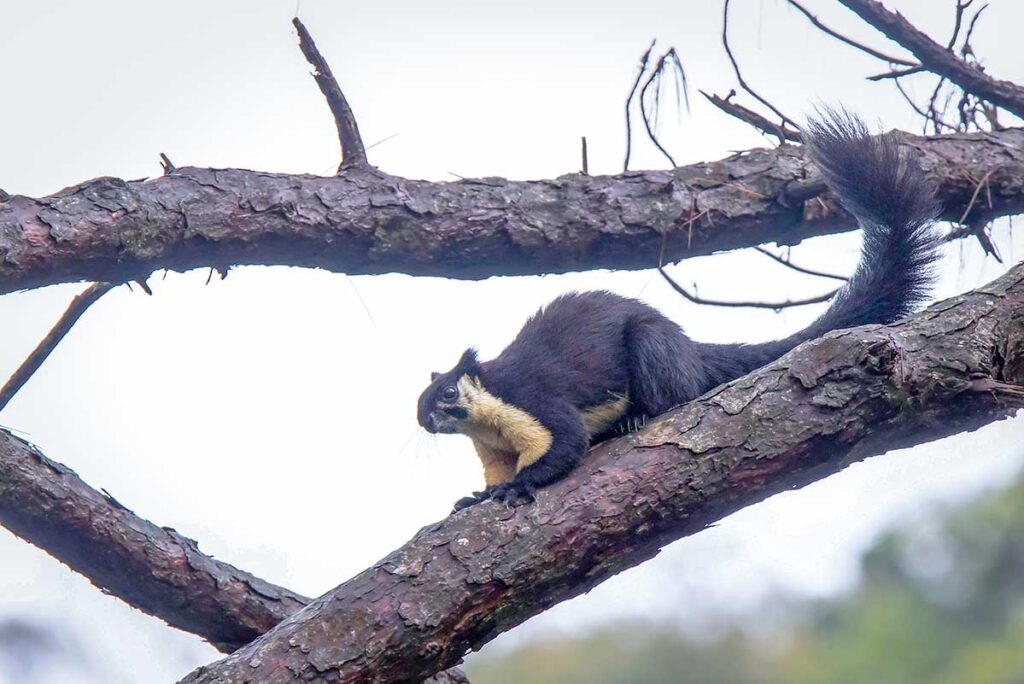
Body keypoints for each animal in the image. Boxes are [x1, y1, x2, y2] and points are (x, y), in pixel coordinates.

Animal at [417, 109, 940, 512]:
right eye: (418, 405)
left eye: (447, 392)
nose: (426, 421)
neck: (486, 421)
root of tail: (689, 348)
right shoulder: (492, 451)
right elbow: (498, 474)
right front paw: (478, 497)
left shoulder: (533, 399)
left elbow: (566, 443)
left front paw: (518, 487)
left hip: (650, 345)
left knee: (675, 394)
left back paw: (635, 417)